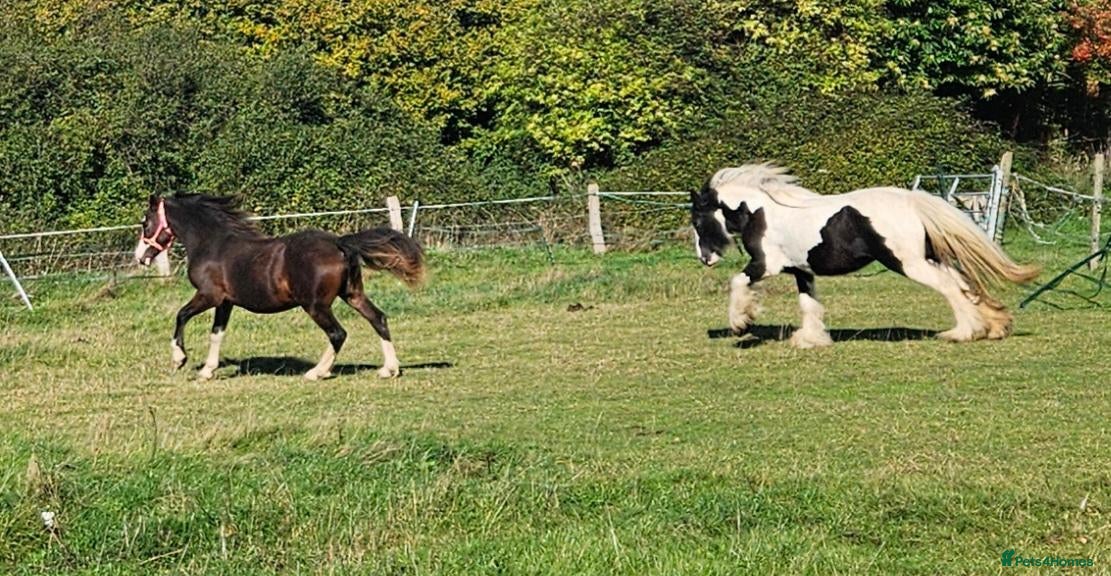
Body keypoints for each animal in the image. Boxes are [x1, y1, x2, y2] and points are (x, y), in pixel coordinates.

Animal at [133, 194, 424, 380]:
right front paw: (207, 370)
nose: (140, 258)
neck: (212, 243)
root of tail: (340, 243)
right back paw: (389, 370)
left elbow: (181, 315)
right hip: (352, 294)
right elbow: (216, 333)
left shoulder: (209, 295)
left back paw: (316, 373)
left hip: (316, 305)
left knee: (338, 333)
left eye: (145, 223)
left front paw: (179, 359)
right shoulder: (225, 302)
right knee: (379, 319)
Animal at [690, 164, 1040, 348]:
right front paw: (811, 339)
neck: (761, 213)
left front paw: (740, 323)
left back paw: (963, 332)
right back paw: (995, 326)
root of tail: (912, 201)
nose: (704, 259)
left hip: (907, 263)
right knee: (964, 284)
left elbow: (737, 282)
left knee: (950, 287)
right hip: (928, 258)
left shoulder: (765, 265)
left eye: (698, 221)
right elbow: (808, 304)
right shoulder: (801, 270)